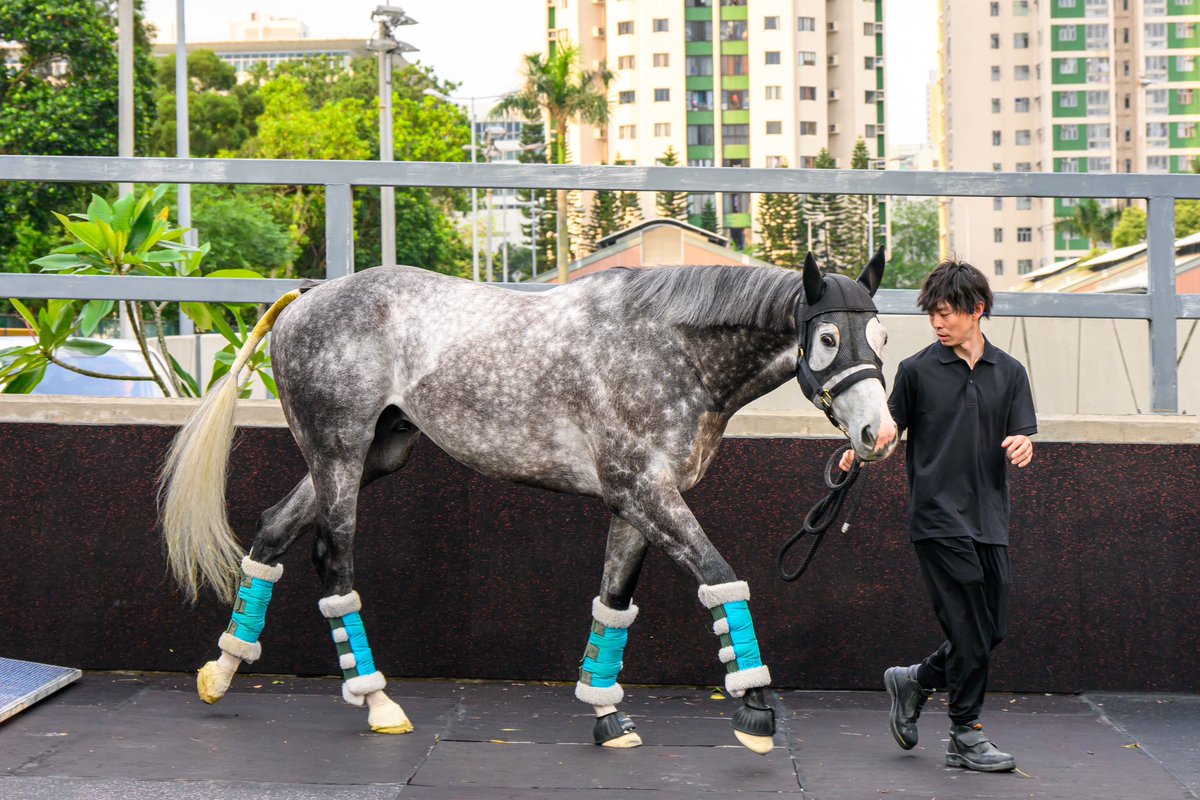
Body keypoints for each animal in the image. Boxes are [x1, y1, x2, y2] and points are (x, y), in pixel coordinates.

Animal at [159, 248, 897, 753]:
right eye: (828, 338)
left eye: (883, 337)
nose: (879, 434)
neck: (671, 348)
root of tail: (307, 296)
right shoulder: (645, 489)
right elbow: (721, 578)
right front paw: (755, 711)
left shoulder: (633, 502)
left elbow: (613, 601)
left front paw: (607, 714)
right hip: (339, 454)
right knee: (332, 563)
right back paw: (377, 702)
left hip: (371, 455)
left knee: (272, 530)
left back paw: (221, 670)